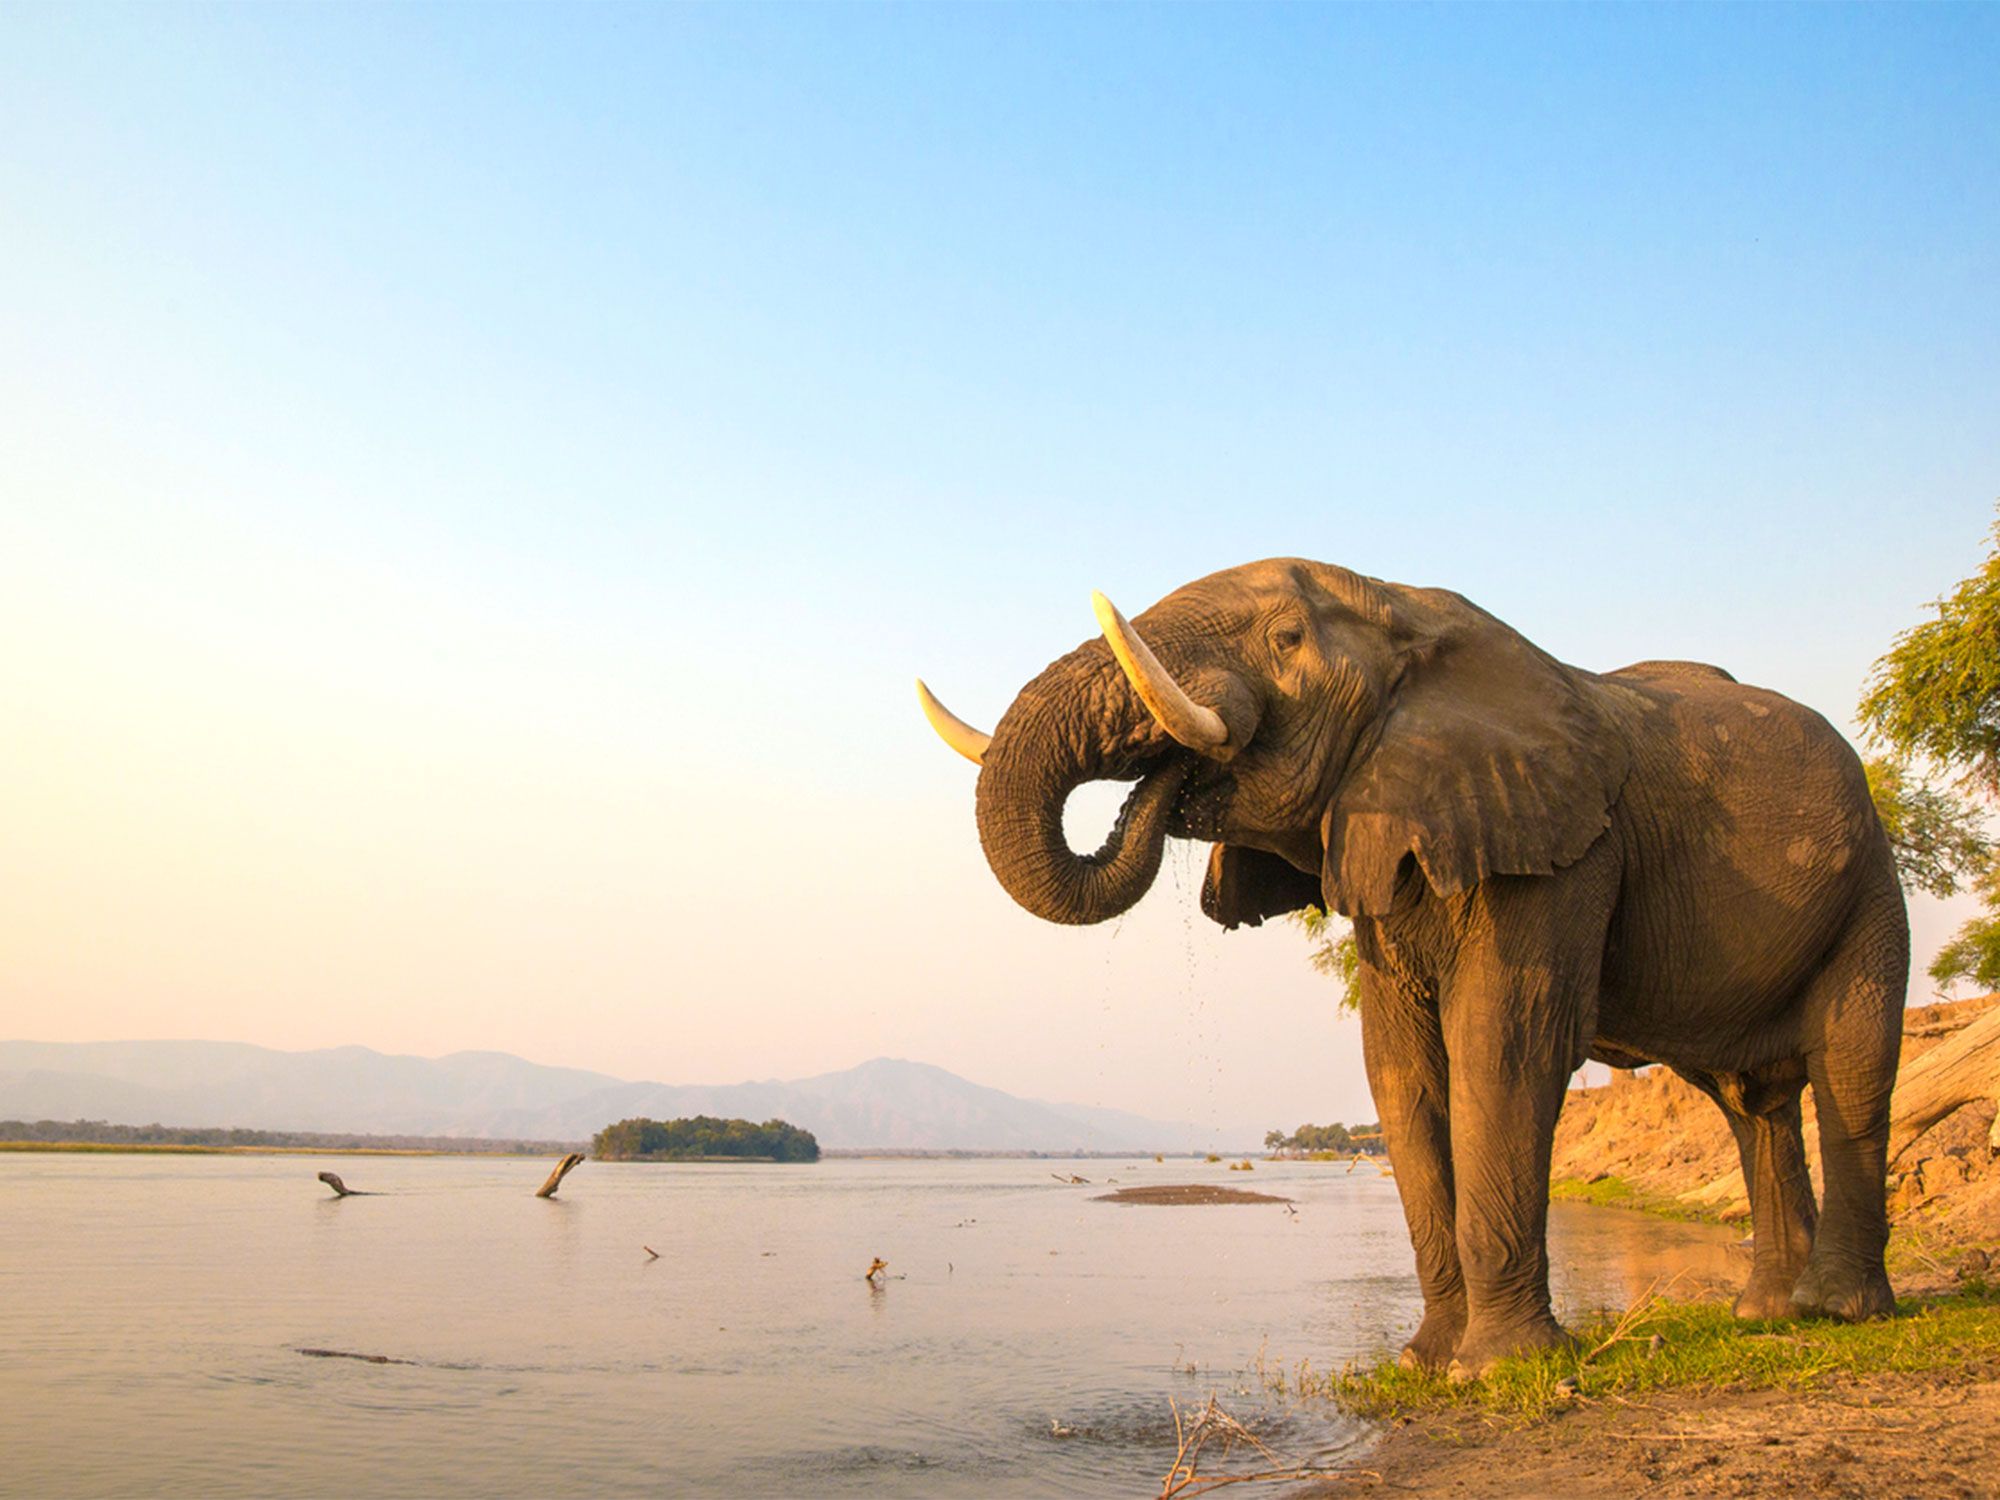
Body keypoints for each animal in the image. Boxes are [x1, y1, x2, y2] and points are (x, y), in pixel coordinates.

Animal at [918, 558, 1907, 1378]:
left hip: (1870, 882)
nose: (1169, 780)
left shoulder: (1562, 851)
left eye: (1286, 639)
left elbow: (1503, 1050)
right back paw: (1766, 1316)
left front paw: (1496, 1371)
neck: (1407, 613)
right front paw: (1426, 1363)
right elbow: (1400, 1071)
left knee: (1851, 1070)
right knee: (1751, 1103)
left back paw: (1838, 1312)